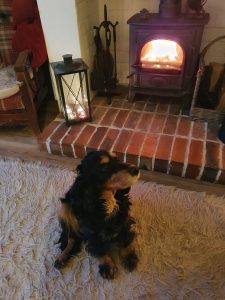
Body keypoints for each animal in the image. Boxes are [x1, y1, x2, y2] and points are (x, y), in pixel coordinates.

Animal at [54, 150, 140, 278]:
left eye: (118, 159)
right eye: (104, 167)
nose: (136, 169)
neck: (108, 202)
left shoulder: (124, 221)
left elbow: (126, 240)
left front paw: (130, 258)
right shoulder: (91, 233)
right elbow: (98, 249)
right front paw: (108, 266)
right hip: (64, 207)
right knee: (71, 238)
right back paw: (62, 257)